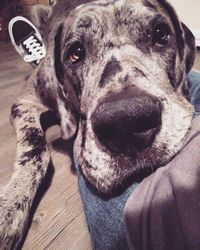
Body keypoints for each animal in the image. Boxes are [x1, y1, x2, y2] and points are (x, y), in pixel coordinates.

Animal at [0, 0, 195, 248]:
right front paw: (9, 210)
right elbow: (35, 152)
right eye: (76, 53)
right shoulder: (27, 100)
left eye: (161, 34)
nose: (126, 122)